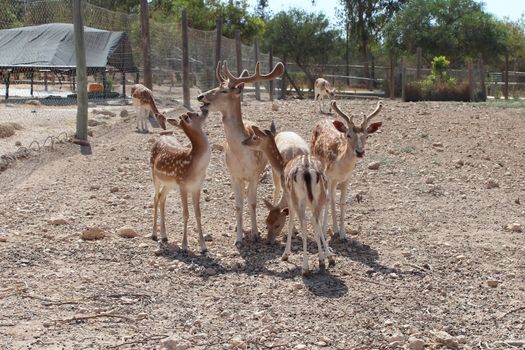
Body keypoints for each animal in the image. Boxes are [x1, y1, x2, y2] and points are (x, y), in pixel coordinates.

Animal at [149, 108, 211, 253]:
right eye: (196, 114)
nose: (205, 108)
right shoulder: (183, 184)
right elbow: (186, 213)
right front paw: (184, 246)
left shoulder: (197, 186)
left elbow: (198, 214)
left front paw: (204, 247)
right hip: (154, 174)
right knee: (155, 197)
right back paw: (154, 234)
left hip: (170, 184)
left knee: (162, 197)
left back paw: (164, 236)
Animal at [196, 60, 284, 246]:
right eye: (216, 86)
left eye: (224, 90)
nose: (200, 96)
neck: (240, 154)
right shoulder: (233, 174)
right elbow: (238, 204)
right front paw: (238, 238)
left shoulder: (254, 173)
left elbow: (253, 203)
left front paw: (256, 234)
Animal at [242, 124, 332, 274]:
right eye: (266, 223)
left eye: (254, 137)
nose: (243, 142)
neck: (282, 165)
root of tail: (308, 172)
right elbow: (316, 224)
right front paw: (327, 258)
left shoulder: (289, 195)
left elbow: (290, 222)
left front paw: (286, 254)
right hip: (319, 196)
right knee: (315, 220)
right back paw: (321, 261)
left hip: (297, 197)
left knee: (304, 224)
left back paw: (305, 268)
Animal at [312, 99, 380, 241]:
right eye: (348, 135)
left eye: (367, 136)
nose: (360, 152)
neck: (341, 167)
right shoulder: (328, 175)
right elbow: (326, 199)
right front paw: (324, 232)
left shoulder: (347, 178)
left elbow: (342, 201)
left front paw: (343, 234)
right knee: (326, 196)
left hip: (334, 181)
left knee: (333, 196)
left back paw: (335, 229)